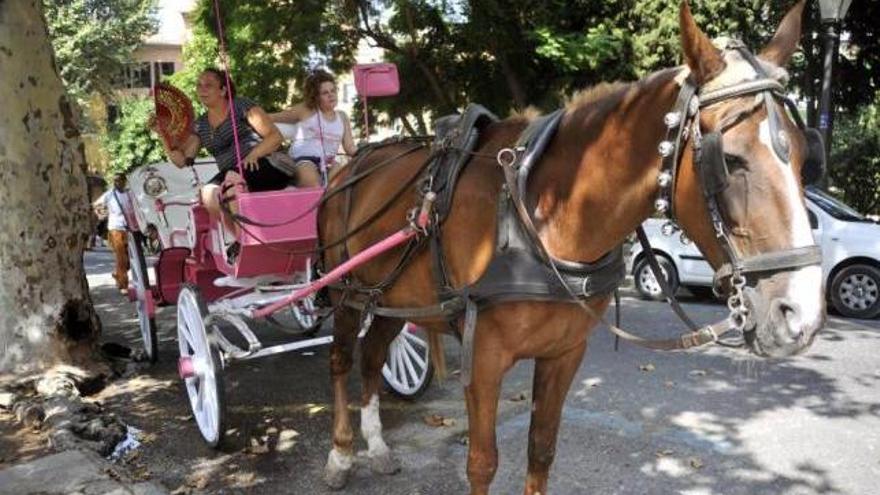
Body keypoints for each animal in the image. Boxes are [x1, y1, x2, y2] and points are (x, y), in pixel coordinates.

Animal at [318, 1, 824, 494]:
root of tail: (350, 165)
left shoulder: (564, 354)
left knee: (374, 355)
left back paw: (377, 447)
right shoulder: (483, 360)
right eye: (730, 160)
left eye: (806, 155)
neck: (543, 210)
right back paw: (340, 454)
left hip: (391, 298)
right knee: (342, 359)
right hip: (347, 294)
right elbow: (482, 463)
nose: (800, 316)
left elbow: (541, 451)